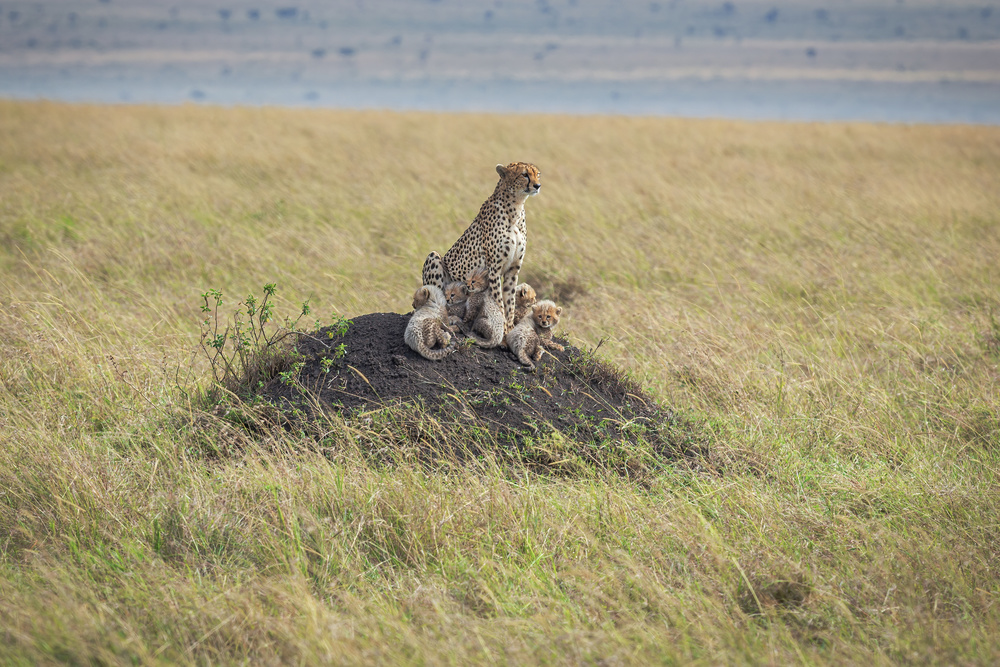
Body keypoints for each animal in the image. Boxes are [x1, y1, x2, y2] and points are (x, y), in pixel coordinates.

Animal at [420, 161, 544, 336]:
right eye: (524, 174)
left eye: (537, 174)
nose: (537, 185)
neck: (516, 207)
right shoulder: (494, 270)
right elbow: (499, 303)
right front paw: (502, 330)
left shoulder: (513, 270)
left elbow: (510, 303)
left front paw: (509, 330)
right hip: (433, 257)